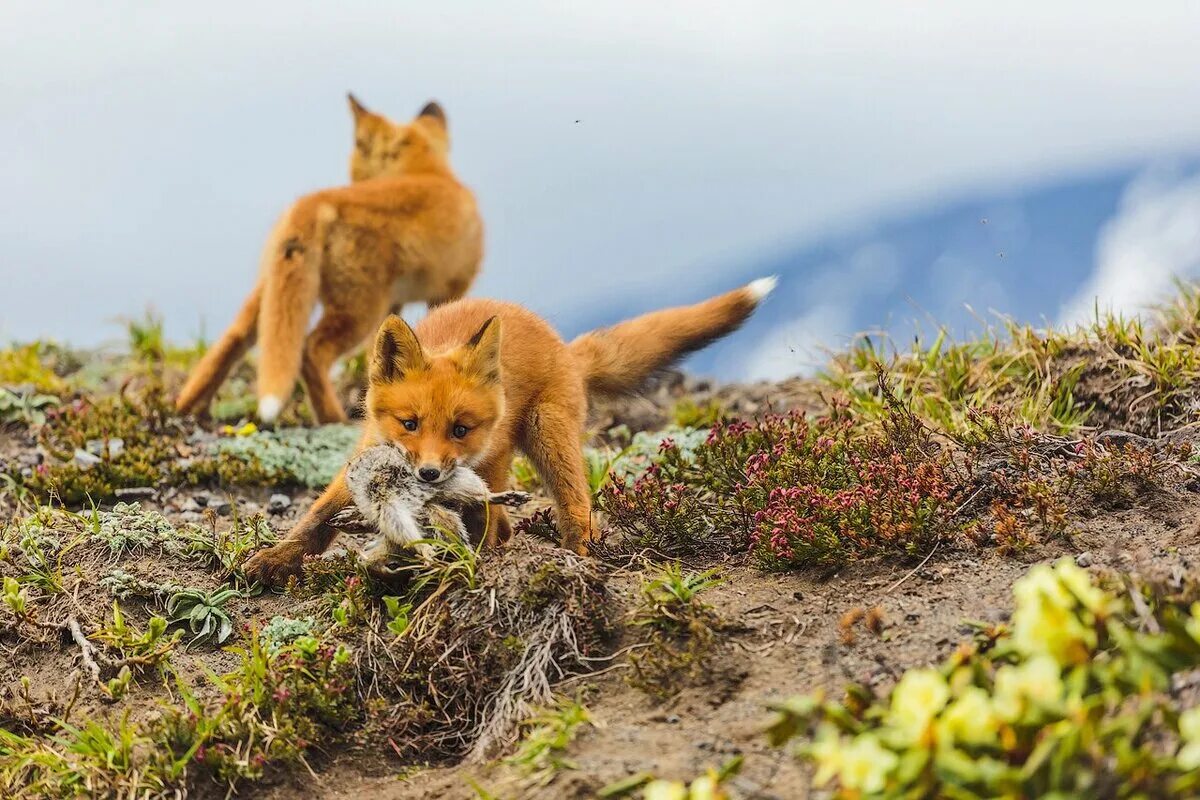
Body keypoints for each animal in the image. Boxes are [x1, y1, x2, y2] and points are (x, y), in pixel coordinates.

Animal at [175, 97, 482, 424]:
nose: (352, 178)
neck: (428, 171)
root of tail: (314, 200)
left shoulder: (395, 304)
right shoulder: (450, 290)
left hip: (273, 296)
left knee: (231, 339)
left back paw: (189, 406)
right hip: (359, 311)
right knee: (311, 351)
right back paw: (333, 417)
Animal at [246, 278, 777, 585]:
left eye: (460, 429)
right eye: (409, 424)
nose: (429, 475)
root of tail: (562, 344)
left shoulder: (485, 463)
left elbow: (482, 523)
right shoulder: (365, 456)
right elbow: (316, 518)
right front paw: (275, 558)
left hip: (546, 438)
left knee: (571, 510)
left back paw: (575, 560)